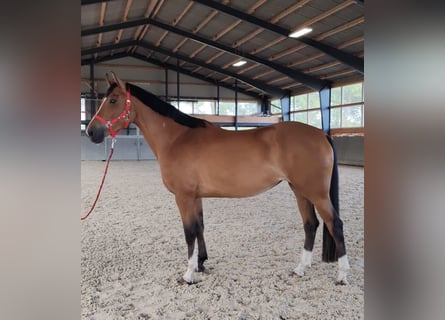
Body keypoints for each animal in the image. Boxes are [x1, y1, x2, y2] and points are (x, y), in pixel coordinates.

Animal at [85, 73, 348, 284]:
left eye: (113, 100)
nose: (90, 132)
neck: (177, 138)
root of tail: (321, 134)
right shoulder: (195, 197)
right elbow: (200, 227)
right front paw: (201, 263)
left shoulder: (184, 197)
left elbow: (189, 232)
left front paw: (188, 274)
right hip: (299, 190)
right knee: (310, 225)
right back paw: (300, 269)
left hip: (316, 193)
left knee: (335, 224)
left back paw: (342, 276)